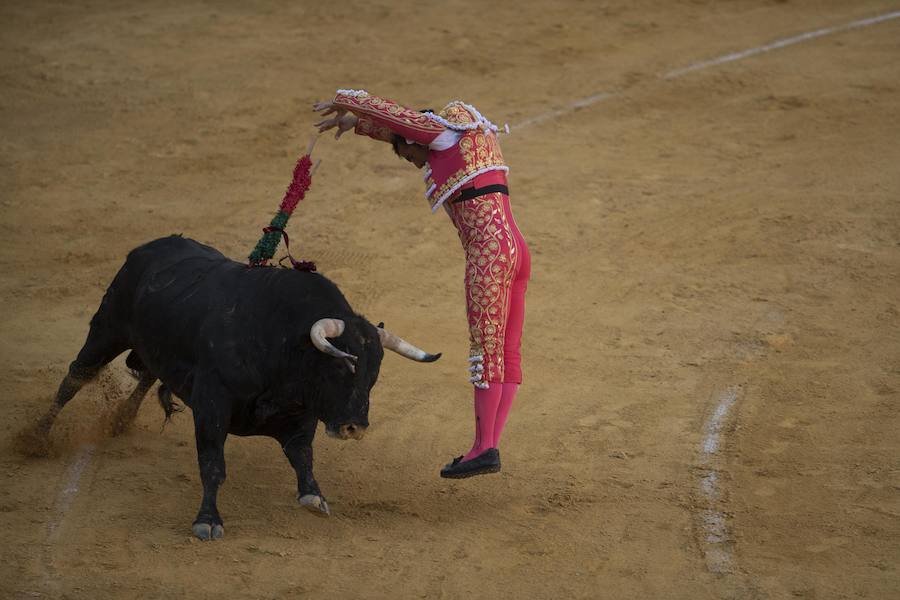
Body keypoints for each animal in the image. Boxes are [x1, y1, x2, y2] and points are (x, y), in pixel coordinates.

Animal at [26, 236, 438, 540]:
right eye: (339, 367)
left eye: (374, 375)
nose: (355, 428)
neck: (282, 339)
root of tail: (148, 248)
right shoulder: (212, 406)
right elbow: (213, 465)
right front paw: (207, 521)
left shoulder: (300, 414)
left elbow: (302, 456)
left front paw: (314, 497)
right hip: (107, 329)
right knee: (74, 379)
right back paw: (36, 439)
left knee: (146, 375)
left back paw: (121, 420)